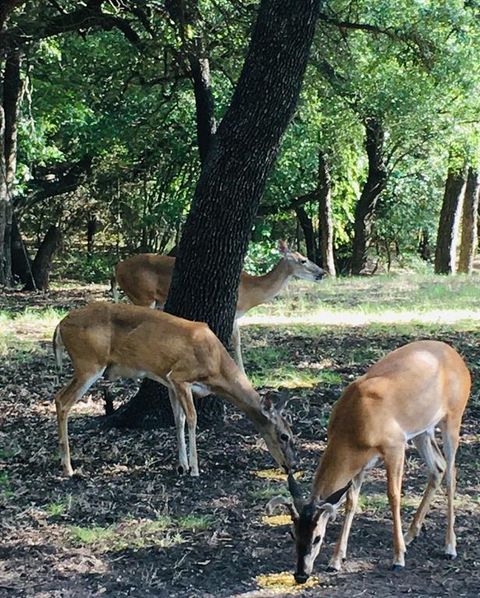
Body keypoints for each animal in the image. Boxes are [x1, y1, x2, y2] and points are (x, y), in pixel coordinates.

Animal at [54, 302, 298, 480]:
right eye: (284, 435)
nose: (292, 465)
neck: (216, 364)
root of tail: (60, 325)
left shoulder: (170, 382)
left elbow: (178, 419)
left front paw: (182, 466)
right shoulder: (180, 376)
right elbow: (192, 418)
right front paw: (195, 468)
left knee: (58, 397)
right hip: (89, 363)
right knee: (62, 401)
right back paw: (68, 468)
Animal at [110, 240, 324, 372]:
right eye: (303, 260)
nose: (322, 272)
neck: (250, 290)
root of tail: (117, 267)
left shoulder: (236, 315)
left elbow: (236, 341)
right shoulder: (234, 310)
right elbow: (233, 340)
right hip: (142, 294)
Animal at [266, 342, 472, 584]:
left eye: (317, 537)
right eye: (292, 532)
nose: (300, 574)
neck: (354, 425)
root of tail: (456, 356)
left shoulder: (395, 445)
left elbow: (393, 496)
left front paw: (398, 559)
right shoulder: (360, 463)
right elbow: (350, 502)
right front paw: (336, 560)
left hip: (453, 418)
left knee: (451, 473)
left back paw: (449, 547)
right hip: (423, 431)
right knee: (438, 467)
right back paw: (410, 535)